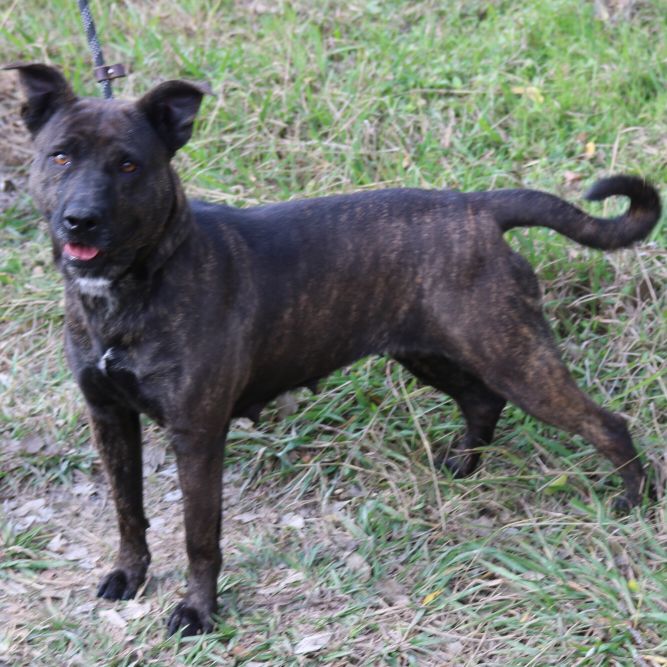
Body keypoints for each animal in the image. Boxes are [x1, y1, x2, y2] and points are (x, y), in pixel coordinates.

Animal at [7, 65, 660, 640]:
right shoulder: (109, 415)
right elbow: (127, 509)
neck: (136, 283)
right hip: (433, 352)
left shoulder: (196, 434)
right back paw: (463, 464)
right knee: (481, 400)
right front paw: (130, 574)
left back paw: (635, 500)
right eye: (60, 156)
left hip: (514, 357)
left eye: (128, 164)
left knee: (606, 422)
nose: (81, 220)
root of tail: (479, 207)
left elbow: (200, 536)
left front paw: (198, 612)